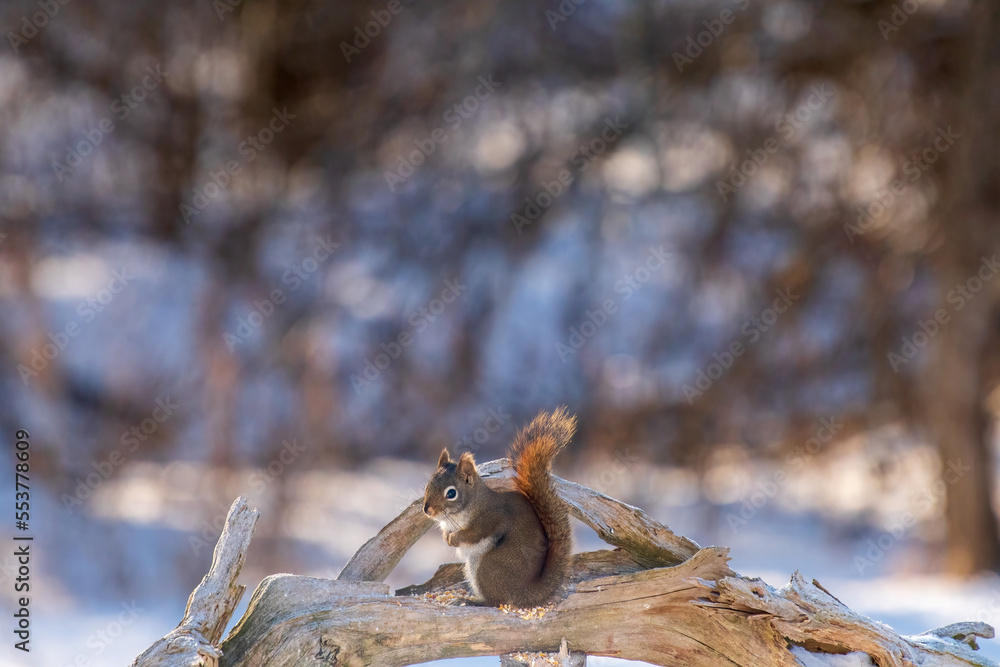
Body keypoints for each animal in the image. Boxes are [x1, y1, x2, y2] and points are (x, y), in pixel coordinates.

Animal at [422, 408, 575, 607]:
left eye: (451, 493)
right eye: (428, 484)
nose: (427, 510)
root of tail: (526, 591)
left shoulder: (489, 519)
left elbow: (472, 534)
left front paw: (454, 539)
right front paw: (447, 537)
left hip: (487, 567)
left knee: (496, 601)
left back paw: (471, 601)